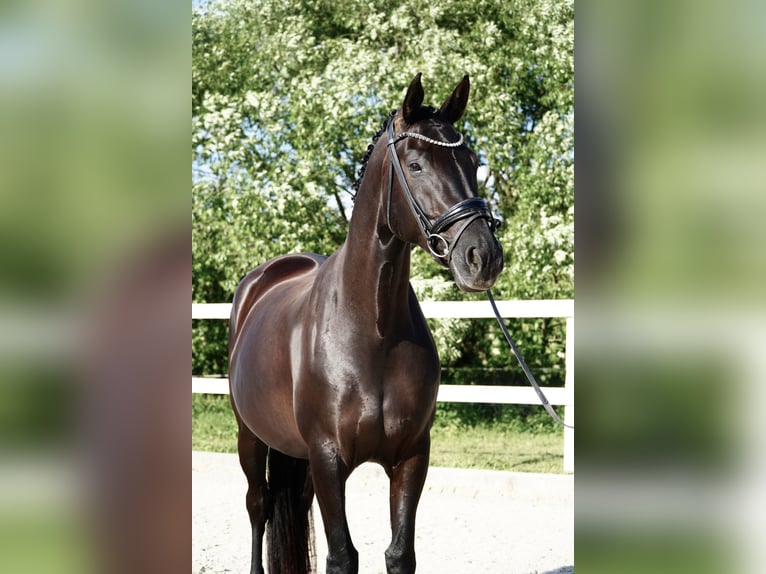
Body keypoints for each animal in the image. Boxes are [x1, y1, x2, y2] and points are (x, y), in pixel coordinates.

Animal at [228, 73, 504, 574]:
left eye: (473, 162)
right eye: (415, 165)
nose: (483, 256)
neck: (371, 330)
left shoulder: (412, 456)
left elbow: (399, 553)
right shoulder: (327, 459)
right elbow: (342, 556)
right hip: (250, 437)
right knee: (258, 506)